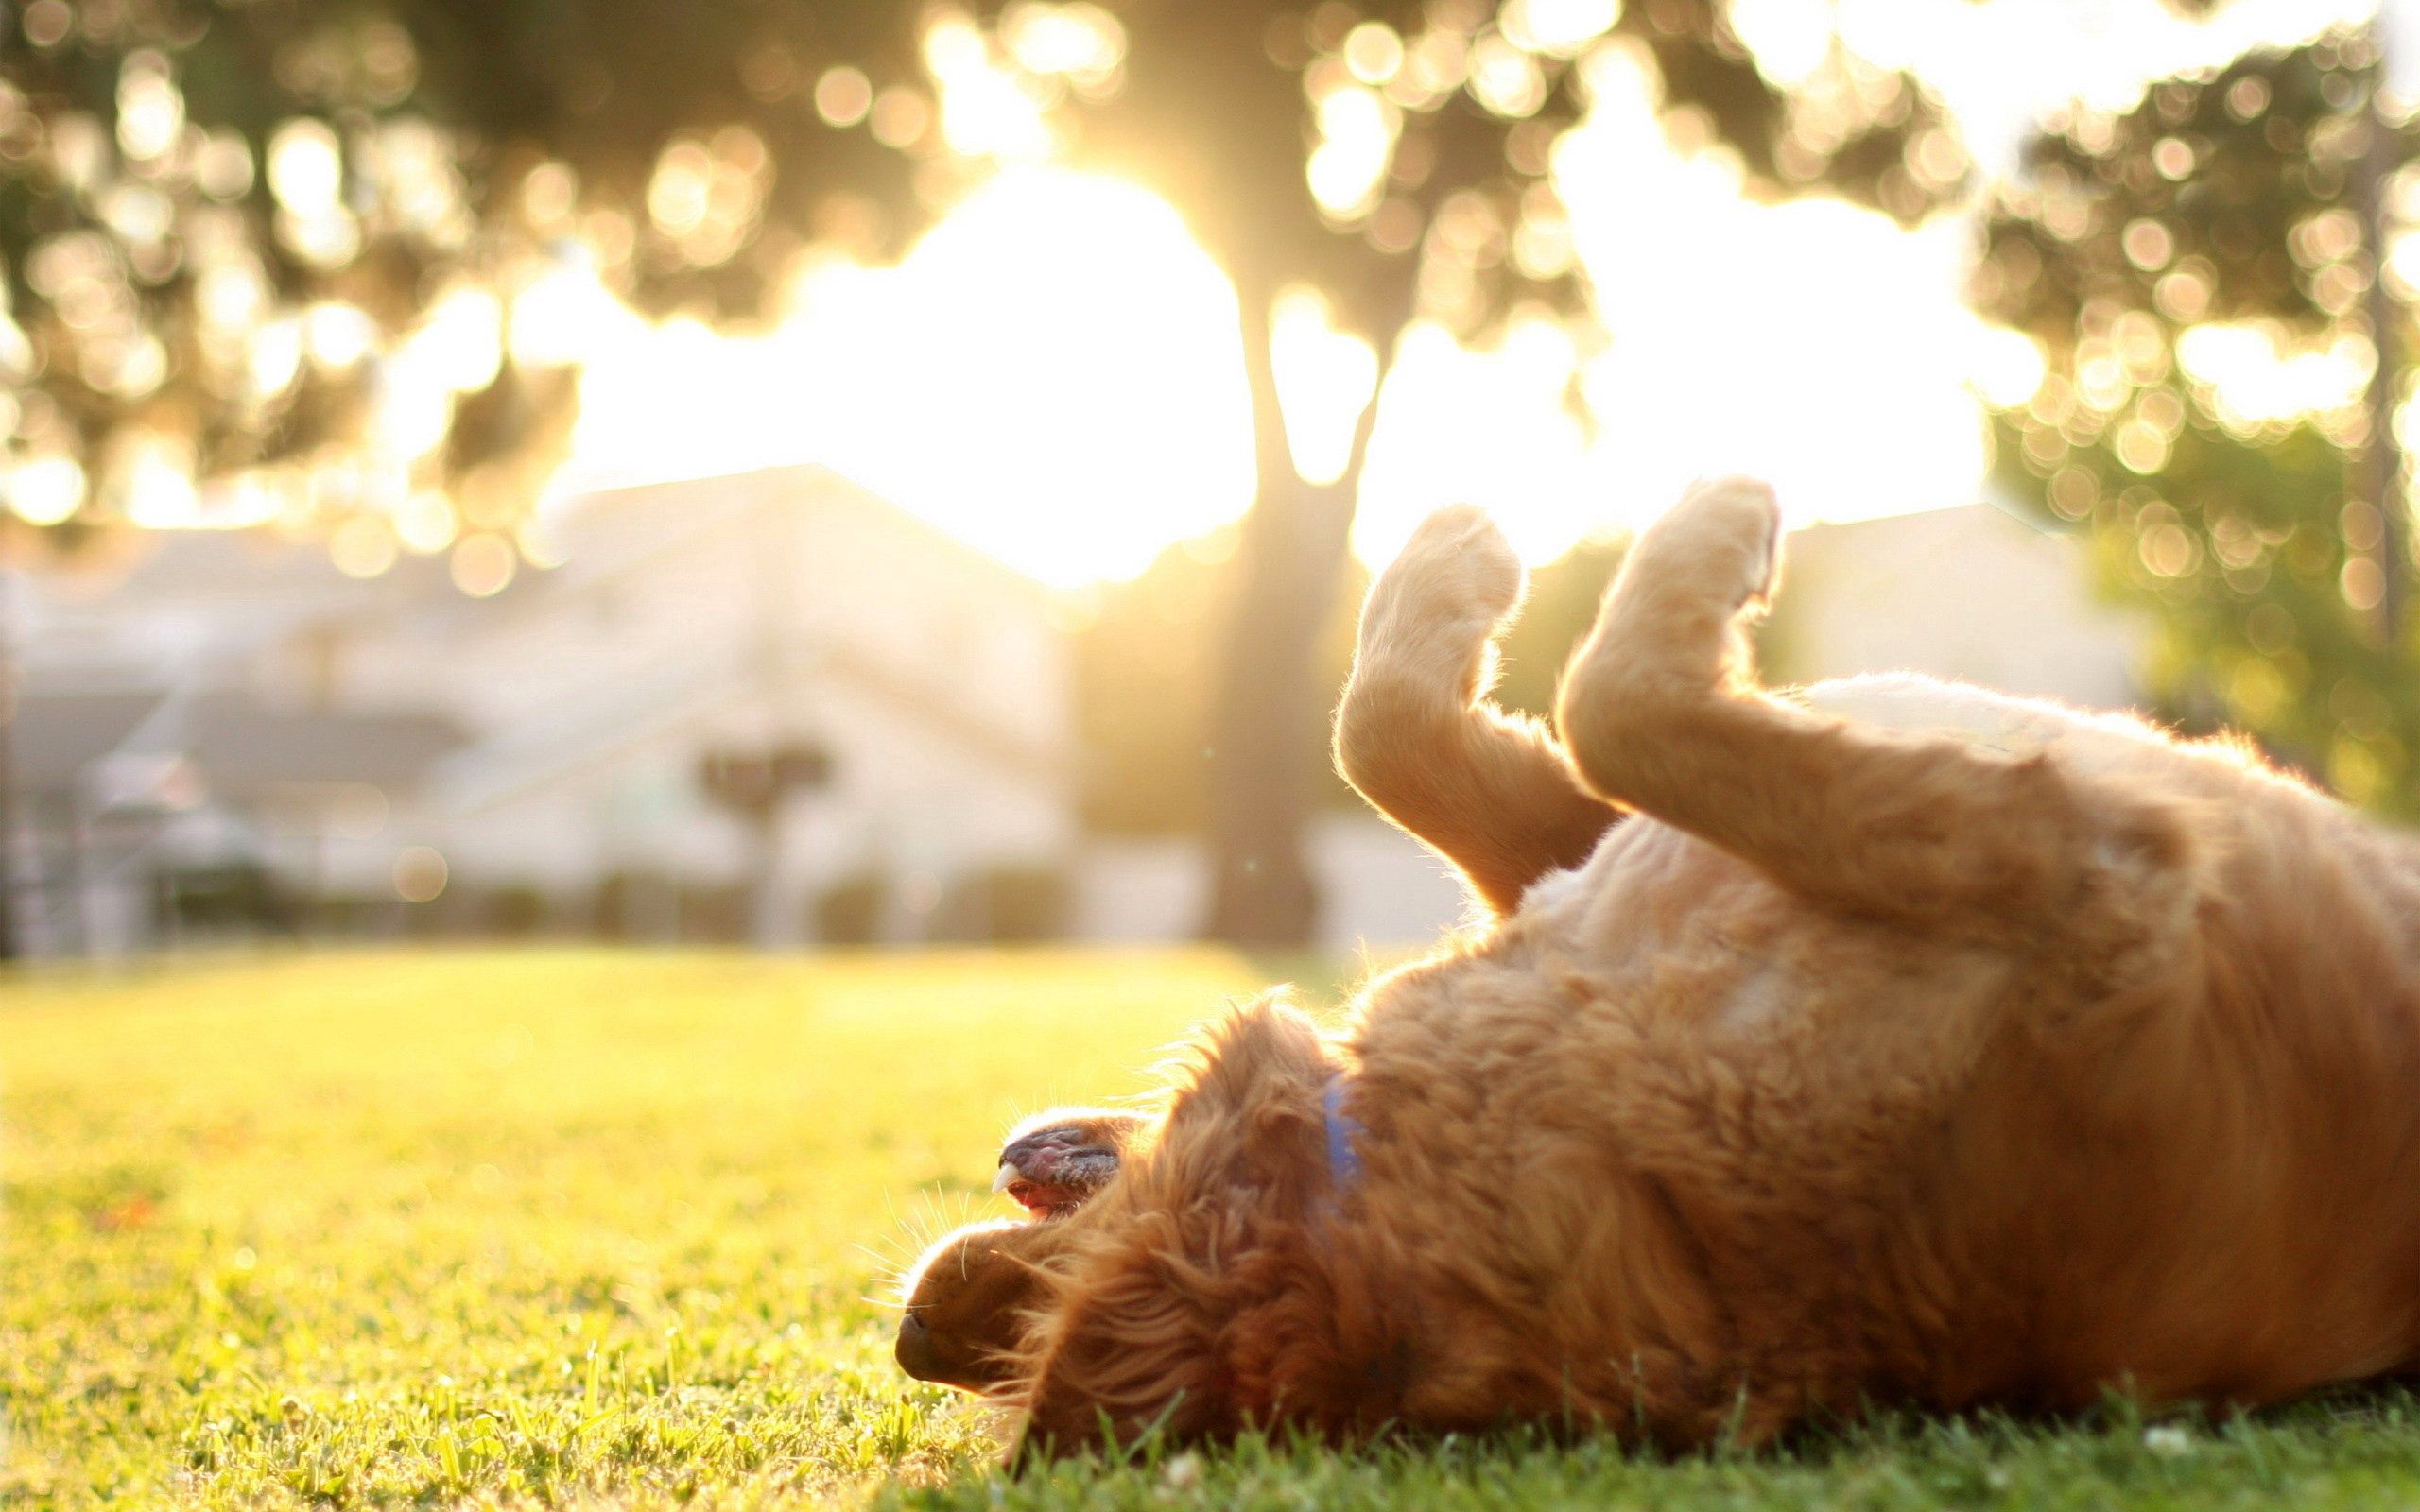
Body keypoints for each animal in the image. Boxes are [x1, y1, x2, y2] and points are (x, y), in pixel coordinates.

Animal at [890, 481, 2420, 1452]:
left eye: (1014, 1328)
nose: (914, 1337)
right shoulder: (2085, 870)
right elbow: (1614, 701)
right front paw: (1693, 527)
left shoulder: (1588, 854)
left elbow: (1389, 732)